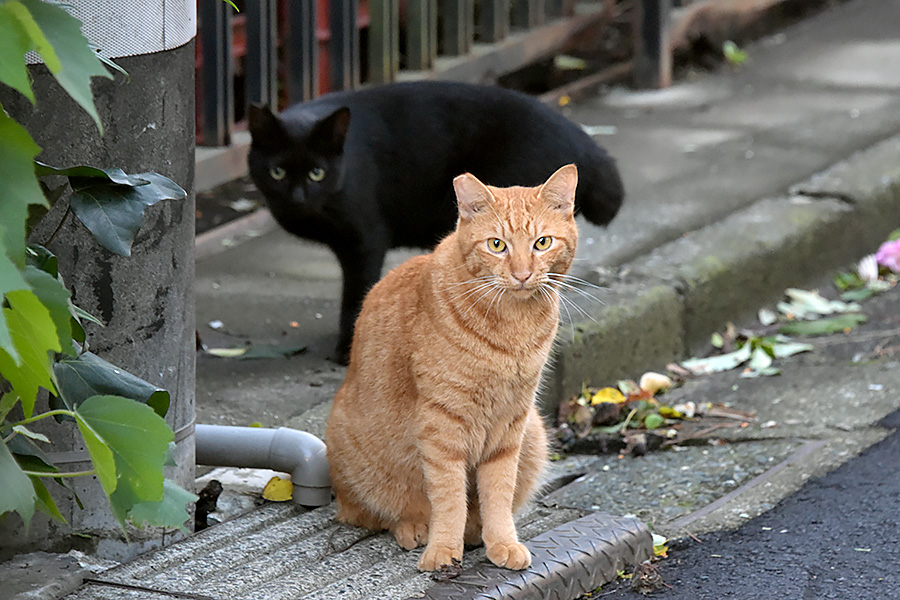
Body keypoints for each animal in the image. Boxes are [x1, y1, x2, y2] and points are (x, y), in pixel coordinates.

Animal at [250, 79, 624, 360]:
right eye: (277, 171)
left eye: (317, 173)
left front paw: (349, 346)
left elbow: (356, 292)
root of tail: (583, 139)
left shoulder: (365, 240)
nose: (297, 198)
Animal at [326, 165, 580, 572]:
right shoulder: (441, 427)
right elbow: (448, 496)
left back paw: (474, 531)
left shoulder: (510, 425)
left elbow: (498, 493)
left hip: (535, 434)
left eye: (542, 243)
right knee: (371, 512)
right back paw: (414, 527)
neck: (513, 326)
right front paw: (443, 547)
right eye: (497, 245)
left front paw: (501, 541)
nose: (522, 274)